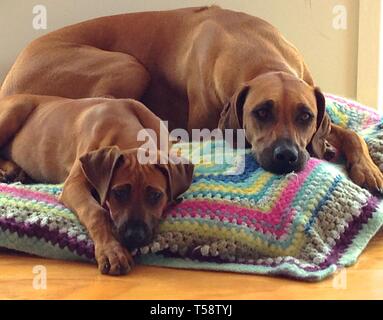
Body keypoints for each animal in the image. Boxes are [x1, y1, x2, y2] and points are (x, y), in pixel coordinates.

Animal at [0, 94, 194, 274]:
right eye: (119, 193)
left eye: (155, 195)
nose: (134, 236)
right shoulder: (73, 186)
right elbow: (96, 211)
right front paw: (111, 251)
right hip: (15, 110)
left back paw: (14, 171)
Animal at [1, 6, 382, 191]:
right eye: (261, 112)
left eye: (305, 116)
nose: (287, 156)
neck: (260, 56)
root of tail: (12, 73)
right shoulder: (206, 126)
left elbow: (348, 132)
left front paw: (367, 167)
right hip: (129, 66)